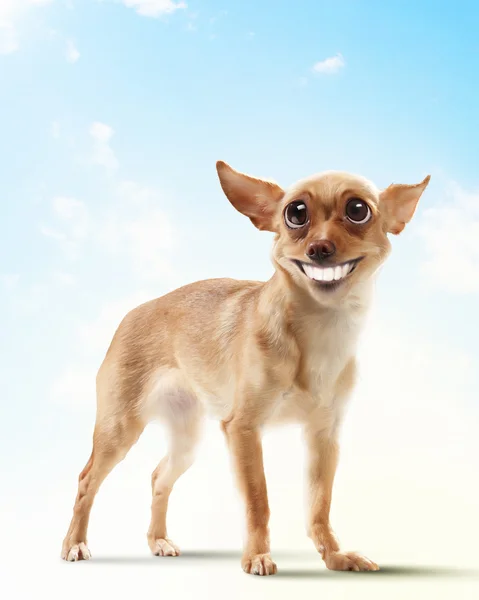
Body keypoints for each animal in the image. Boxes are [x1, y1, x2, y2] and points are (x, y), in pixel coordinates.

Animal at [61, 162, 432, 576]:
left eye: (357, 210)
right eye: (296, 214)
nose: (319, 248)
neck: (320, 327)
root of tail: (134, 311)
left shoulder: (323, 437)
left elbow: (319, 504)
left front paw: (335, 556)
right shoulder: (243, 431)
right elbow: (258, 499)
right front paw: (256, 555)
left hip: (187, 440)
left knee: (159, 476)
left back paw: (158, 540)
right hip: (119, 430)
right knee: (86, 480)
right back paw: (74, 544)